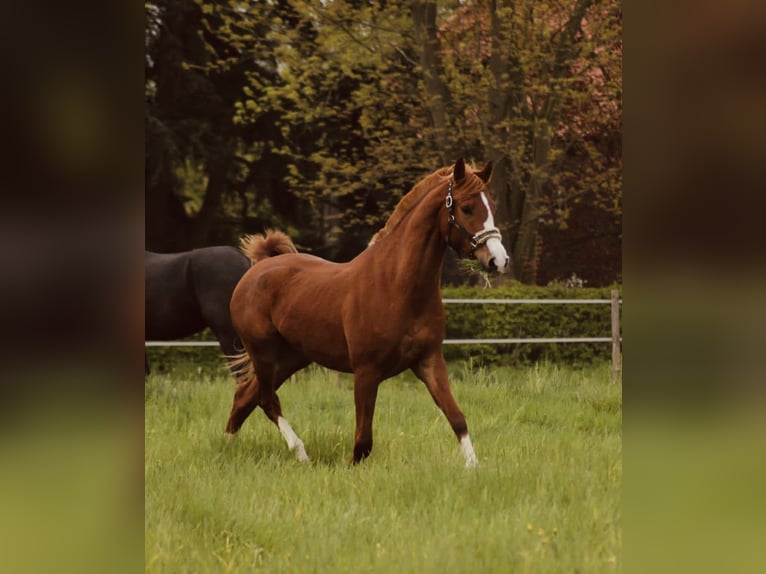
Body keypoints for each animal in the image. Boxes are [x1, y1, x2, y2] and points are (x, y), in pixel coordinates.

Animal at [225, 159, 510, 468]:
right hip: (264, 354)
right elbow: (363, 440)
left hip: (291, 358)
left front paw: (473, 466)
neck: (397, 286)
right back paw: (299, 453)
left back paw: (231, 447)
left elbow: (456, 417)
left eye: (494, 206)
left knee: (245, 397)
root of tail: (257, 270)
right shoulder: (366, 372)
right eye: (467, 207)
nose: (498, 260)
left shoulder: (429, 361)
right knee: (266, 400)